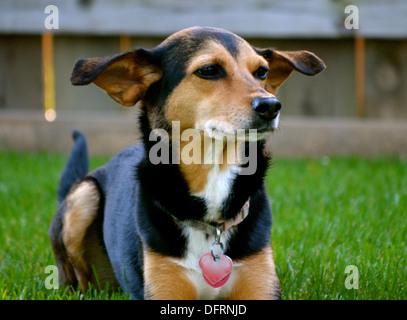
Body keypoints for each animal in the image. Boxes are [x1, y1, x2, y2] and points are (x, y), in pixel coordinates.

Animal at [49, 27, 326, 300]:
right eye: (209, 70)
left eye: (262, 72)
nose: (271, 105)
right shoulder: (165, 290)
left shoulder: (260, 284)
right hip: (84, 196)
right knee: (79, 280)